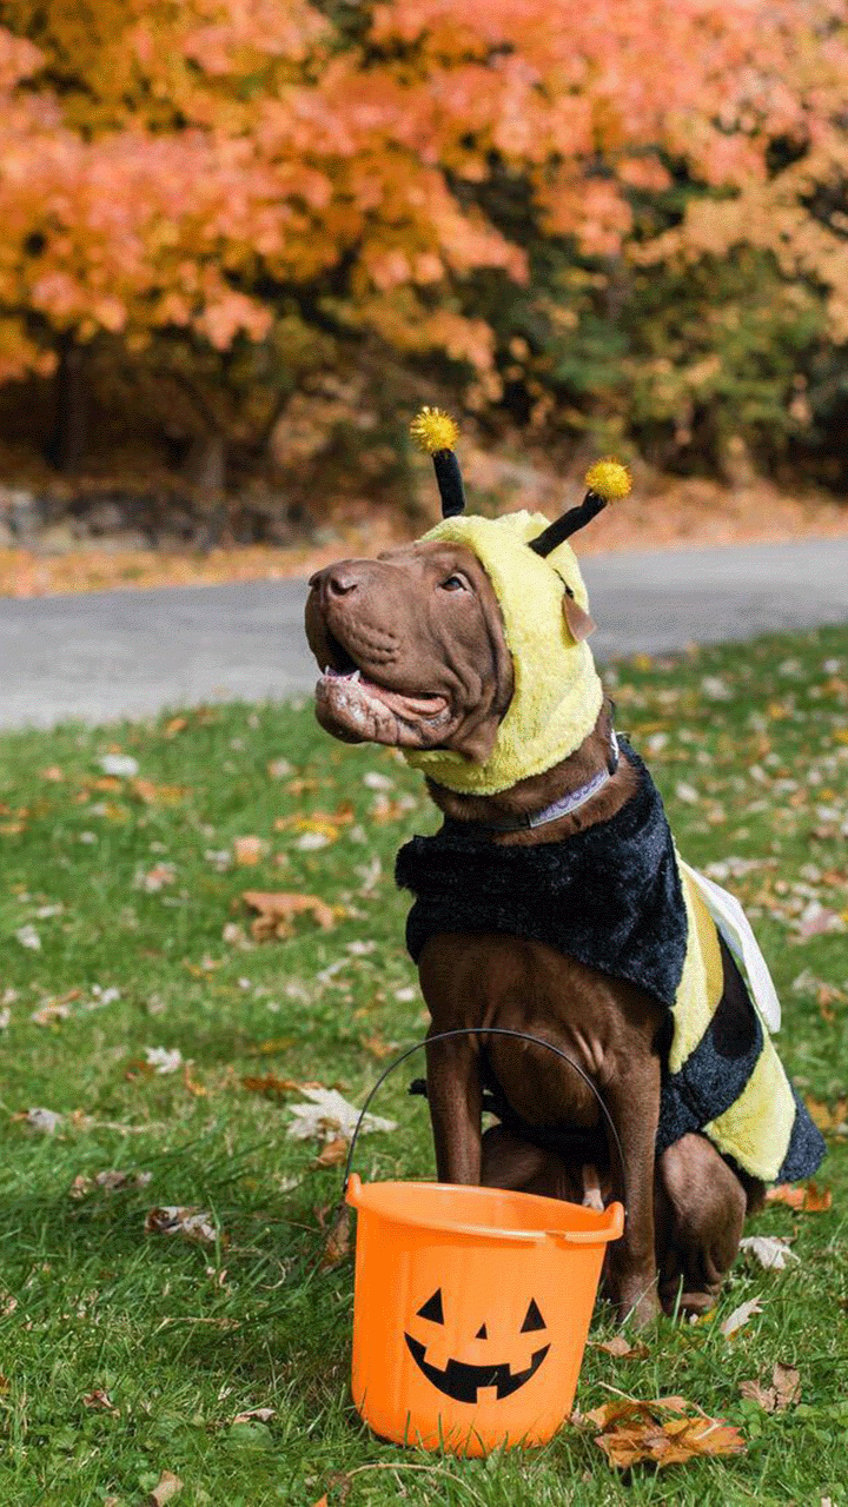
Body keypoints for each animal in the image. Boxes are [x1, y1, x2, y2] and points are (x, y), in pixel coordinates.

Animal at [307, 536, 801, 1326]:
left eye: (454, 583)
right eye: (390, 555)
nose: (325, 580)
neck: (521, 842)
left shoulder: (629, 1066)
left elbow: (636, 1224)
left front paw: (634, 1328)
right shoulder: (452, 1039)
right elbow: (459, 1182)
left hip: (692, 1166)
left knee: (680, 1235)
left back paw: (680, 1312)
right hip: (517, 1150)